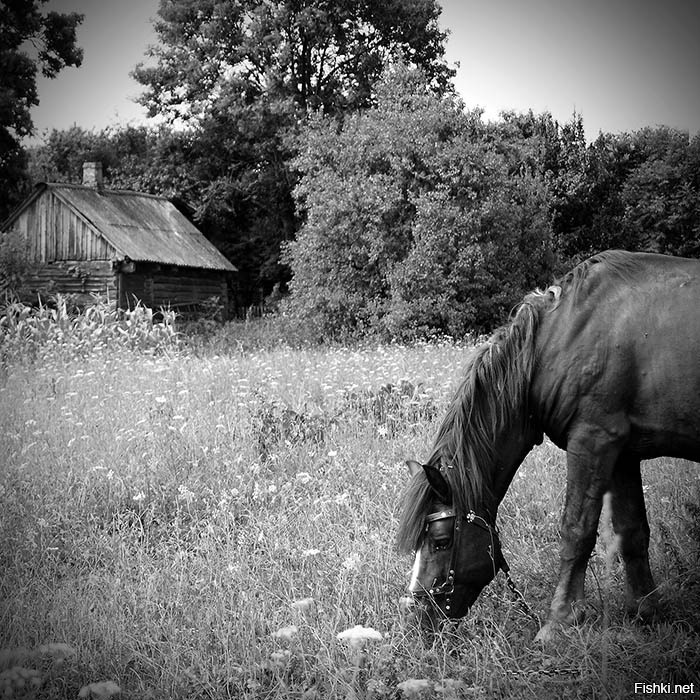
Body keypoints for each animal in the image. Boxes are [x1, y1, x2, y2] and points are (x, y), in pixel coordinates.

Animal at [396, 250, 700, 640]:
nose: (418, 619)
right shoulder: (623, 452)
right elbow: (632, 532)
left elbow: (576, 531)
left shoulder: (593, 440)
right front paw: (646, 612)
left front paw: (558, 622)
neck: (559, 341)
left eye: (441, 541)